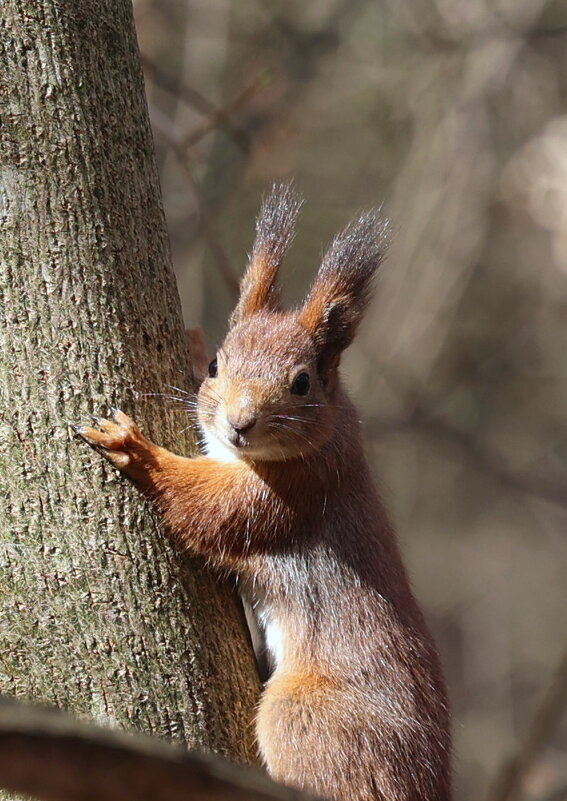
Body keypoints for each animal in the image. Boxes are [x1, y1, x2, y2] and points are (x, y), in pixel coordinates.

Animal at [79, 183, 452, 800]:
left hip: (305, 717)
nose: (239, 424)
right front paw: (189, 342)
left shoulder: (292, 491)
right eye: (215, 365)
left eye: (302, 382)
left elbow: (208, 508)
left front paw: (135, 448)